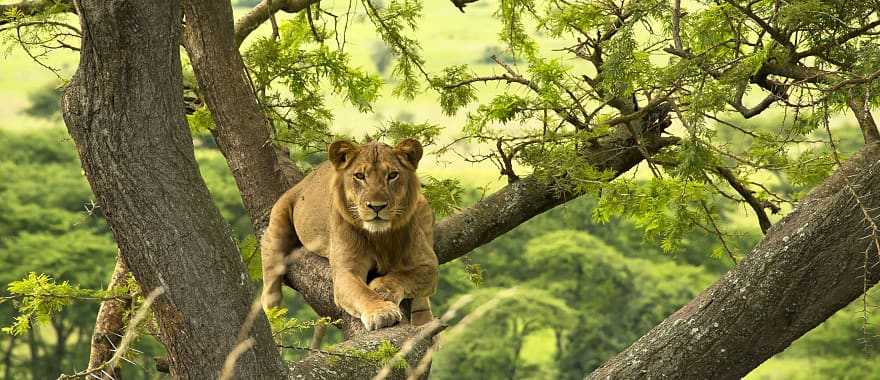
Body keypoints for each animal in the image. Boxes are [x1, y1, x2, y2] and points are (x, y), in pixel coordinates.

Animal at [262, 139, 440, 330]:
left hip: (423, 205)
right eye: (359, 176)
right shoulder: (346, 271)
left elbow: (402, 277)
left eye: (392, 175)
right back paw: (274, 316)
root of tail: (304, 182)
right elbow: (361, 292)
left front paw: (381, 288)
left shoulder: (428, 265)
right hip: (278, 221)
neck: (380, 236)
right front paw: (381, 312)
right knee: (270, 278)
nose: (377, 206)